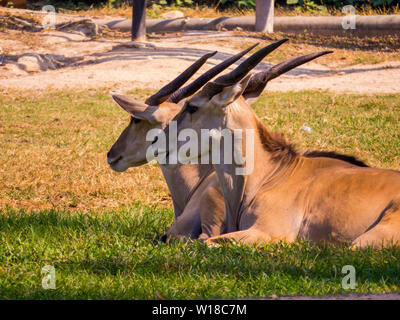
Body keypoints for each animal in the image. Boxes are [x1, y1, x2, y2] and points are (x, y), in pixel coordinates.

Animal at [155, 45, 400, 250]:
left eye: (192, 107)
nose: (158, 143)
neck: (271, 174)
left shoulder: (266, 232)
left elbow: (205, 242)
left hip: (363, 241)